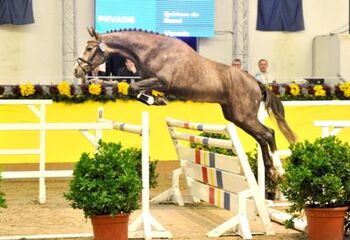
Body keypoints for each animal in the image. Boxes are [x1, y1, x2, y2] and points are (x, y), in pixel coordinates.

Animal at [74, 27, 298, 179]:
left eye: (89, 48)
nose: (77, 71)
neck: (152, 50)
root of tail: (254, 81)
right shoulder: (150, 81)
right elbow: (135, 90)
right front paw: (157, 100)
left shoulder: (161, 81)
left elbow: (133, 88)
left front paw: (157, 100)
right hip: (236, 116)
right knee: (261, 137)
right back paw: (270, 170)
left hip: (244, 115)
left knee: (268, 133)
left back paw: (278, 169)